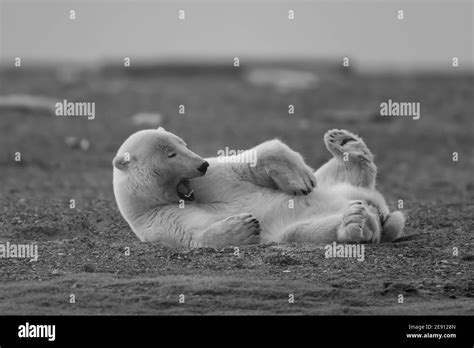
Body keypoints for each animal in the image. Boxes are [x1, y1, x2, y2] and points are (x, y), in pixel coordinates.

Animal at [111, 128, 404, 247]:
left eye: (183, 143)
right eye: (170, 154)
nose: (201, 164)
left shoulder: (214, 178)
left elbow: (248, 161)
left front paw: (300, 181)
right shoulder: (158, 218)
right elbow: (194, 235)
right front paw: (243, 226)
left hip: (333, 185)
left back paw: (344, 143)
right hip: (304, 223)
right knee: (303, 231)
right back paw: (356, 222)